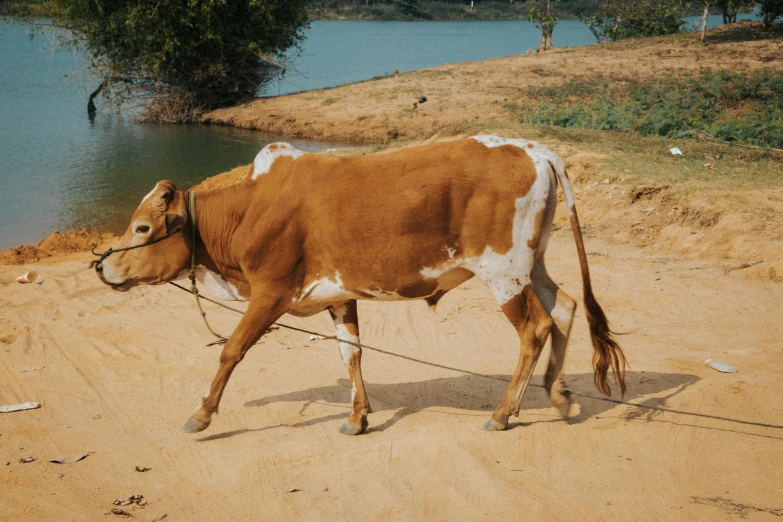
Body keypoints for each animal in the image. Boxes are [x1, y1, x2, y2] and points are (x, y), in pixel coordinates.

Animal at [95, 136, 628, 432]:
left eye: (142, 228)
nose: (102, 267)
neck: (248, 210)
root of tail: (535, 149)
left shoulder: (270, 292)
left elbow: (231, 350)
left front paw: (203, 413)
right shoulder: (339, 294)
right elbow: (350, 353)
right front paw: (357, 417)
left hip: (503, 272)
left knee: (534, 330)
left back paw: (503, 412)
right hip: (531, 264)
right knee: (564, 307)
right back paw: (558, 395)